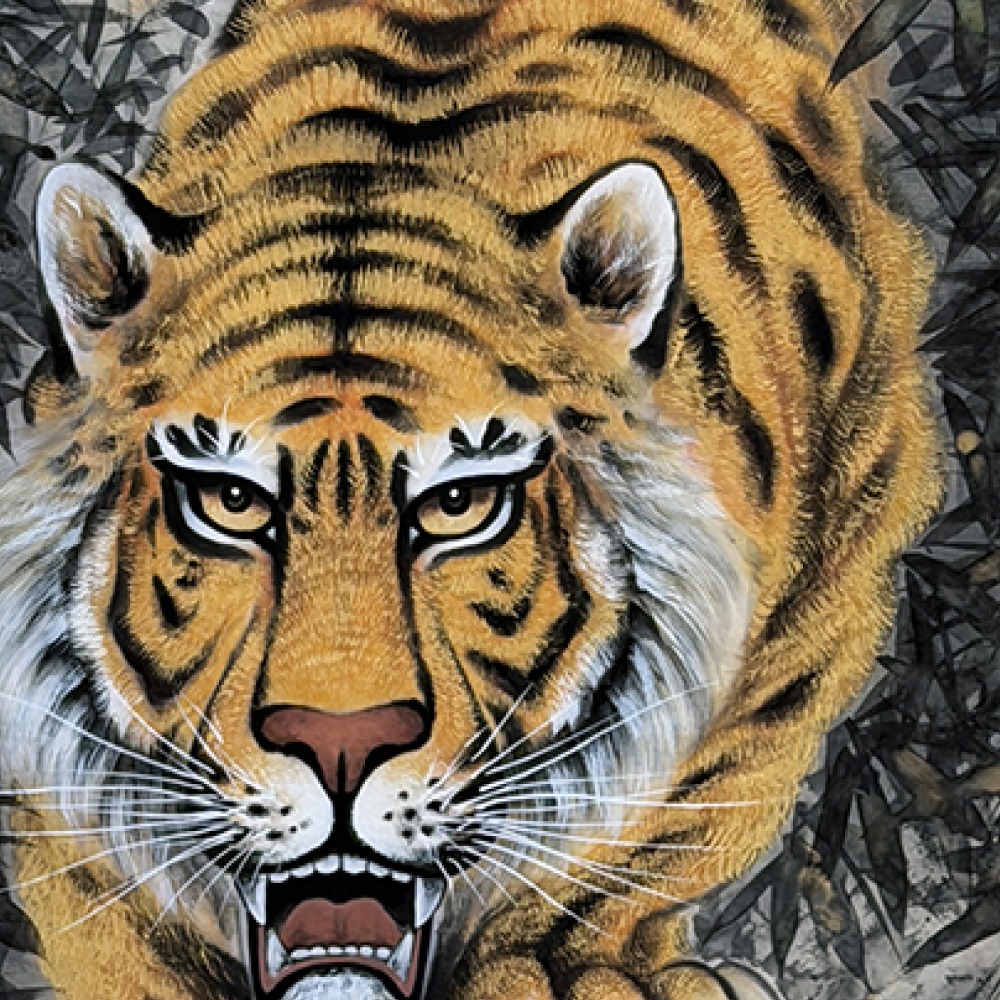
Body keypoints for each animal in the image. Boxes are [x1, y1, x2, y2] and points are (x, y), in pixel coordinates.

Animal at [0, 0, 939, 998]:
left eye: (462, 505)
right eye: (227, 500)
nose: (341, 744)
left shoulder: (821, 596)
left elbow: (646, 833)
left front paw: (567, 967)